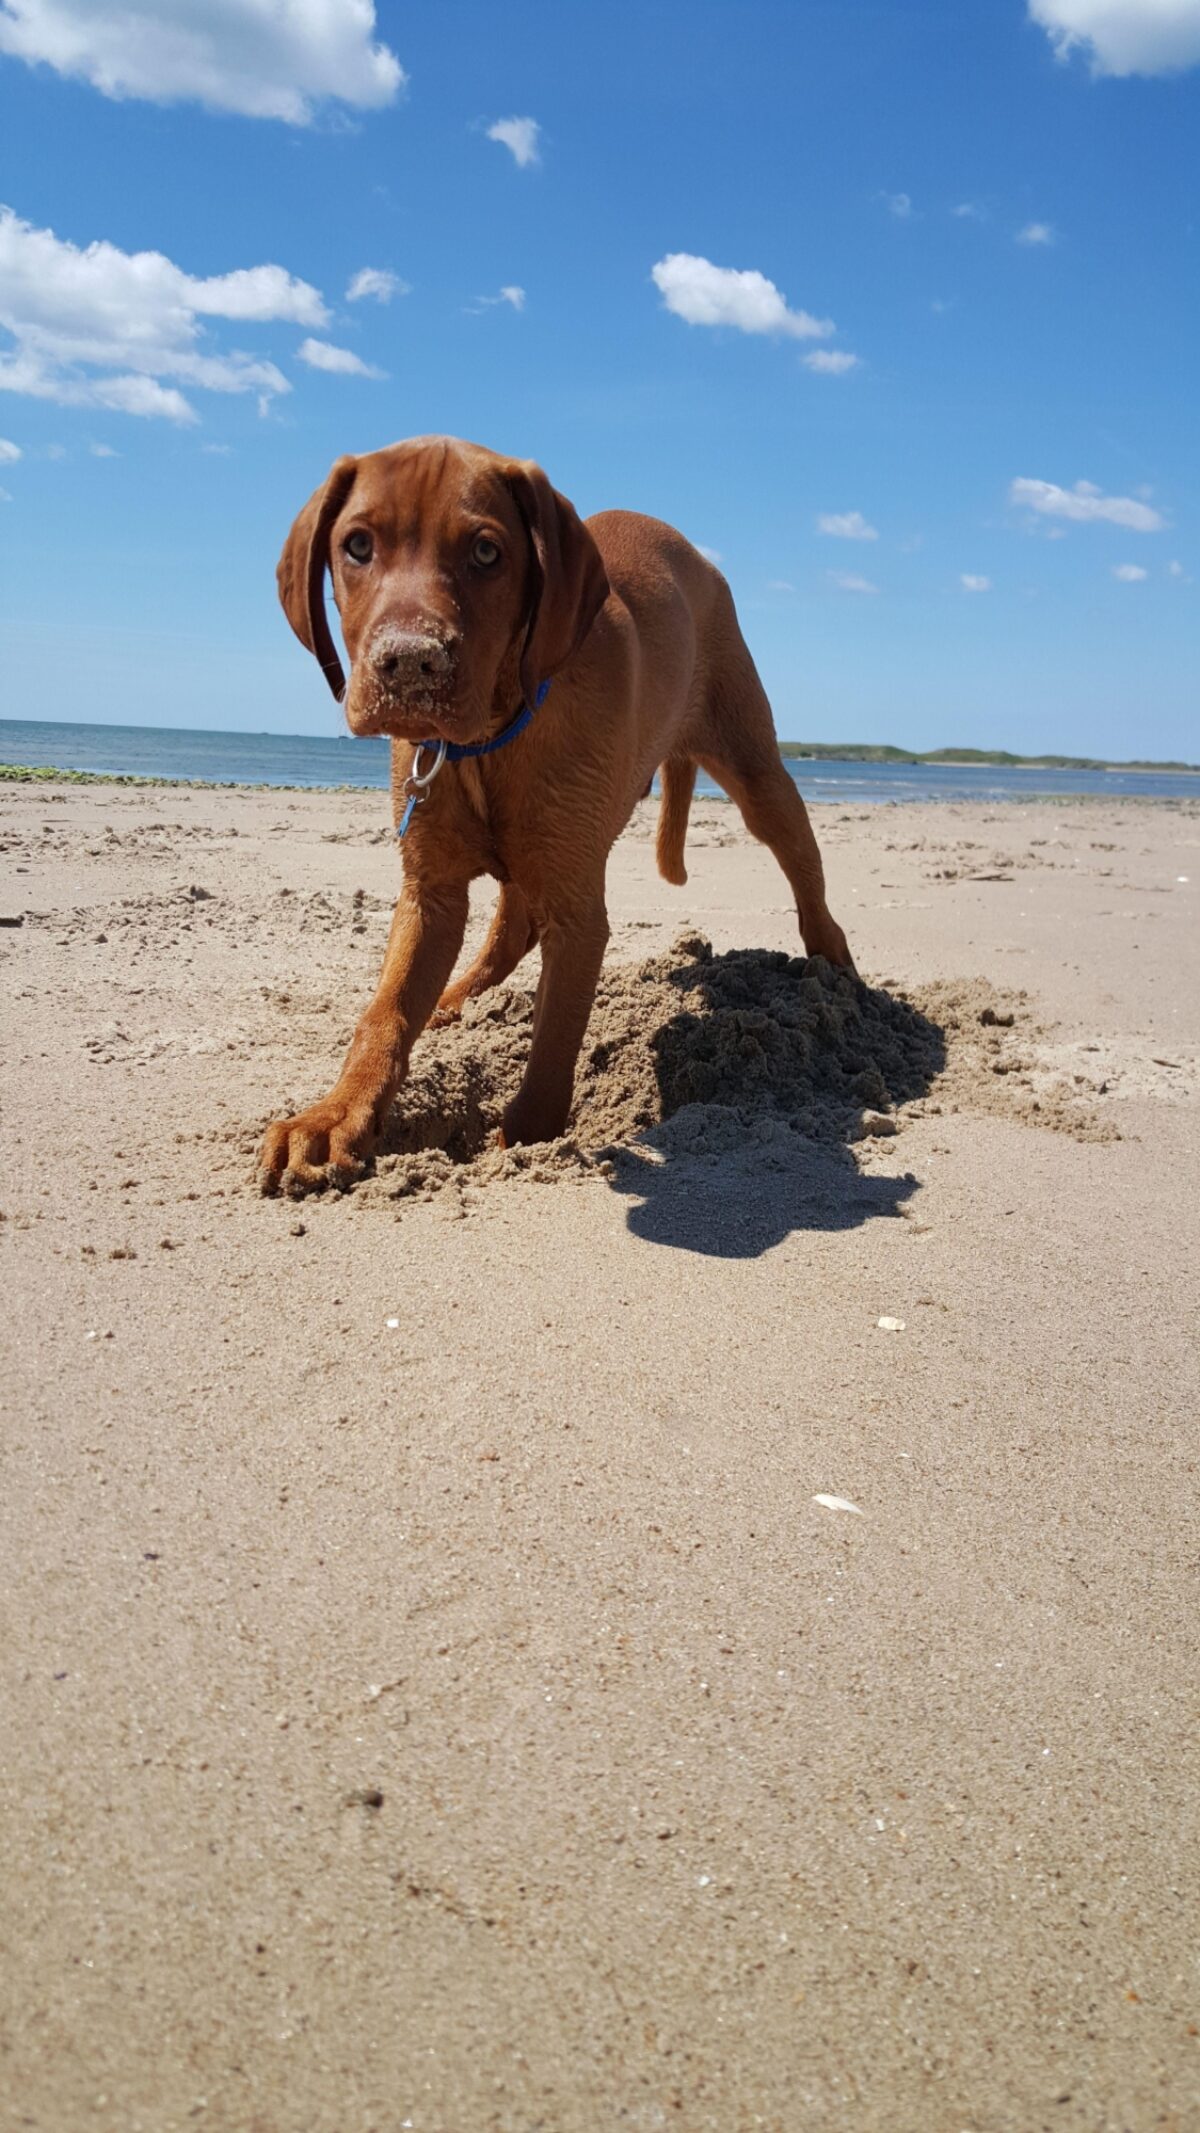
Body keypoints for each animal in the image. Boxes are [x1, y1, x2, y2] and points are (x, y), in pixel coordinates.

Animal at [261, 432, 852, 1203]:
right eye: (357, 545)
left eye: (487, 552)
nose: (410, 665)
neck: (488, 737)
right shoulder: (430, 892)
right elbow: (384, 1013)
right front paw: (332, 1116)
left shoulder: (578, 911)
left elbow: (553, 1042)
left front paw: (523, 1140)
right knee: (509, 927)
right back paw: (459, 998)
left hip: (755, 770)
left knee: (803, 868)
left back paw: (836, 971)